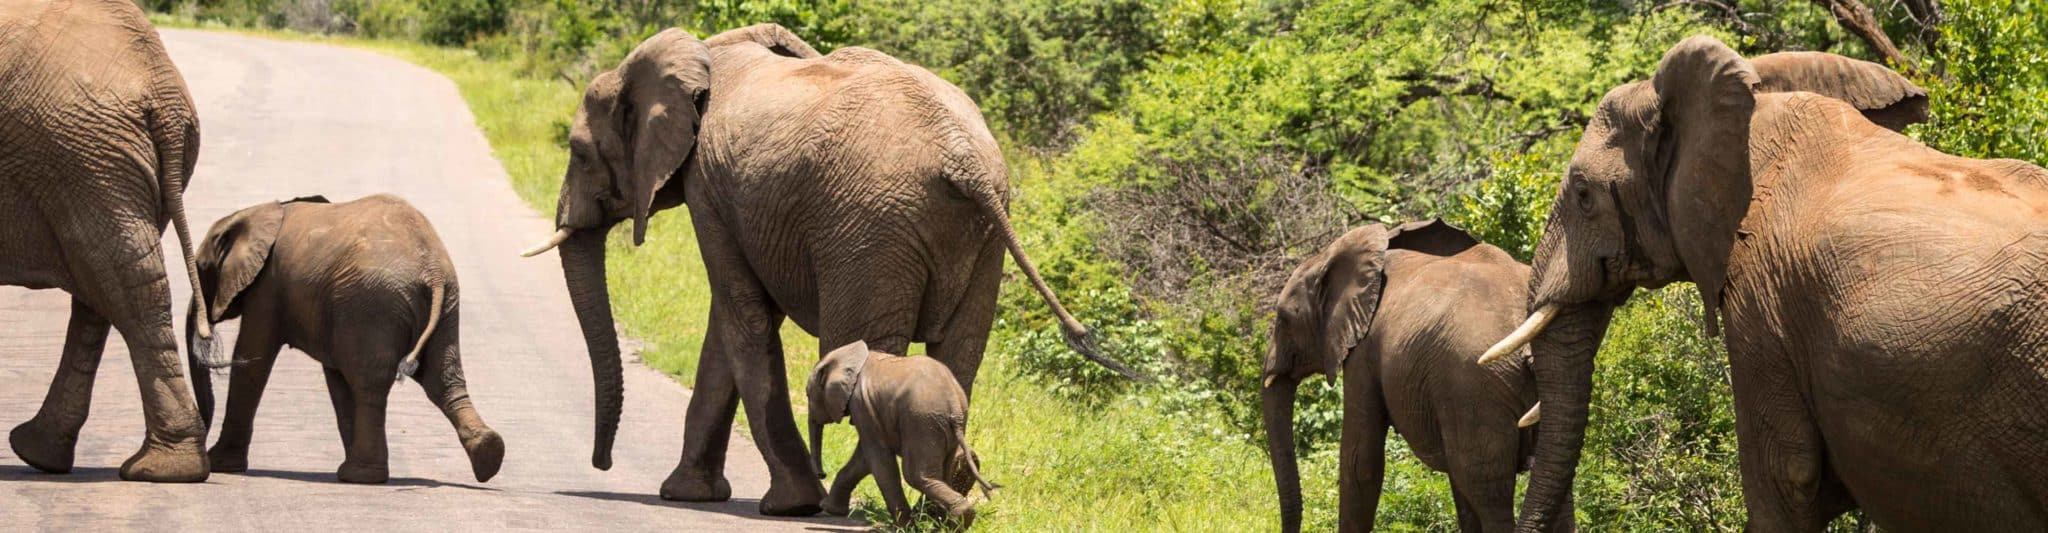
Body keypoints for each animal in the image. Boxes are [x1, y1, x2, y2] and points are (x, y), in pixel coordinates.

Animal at [0, 0, 216, 481]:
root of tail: (161, 84)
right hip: (99, 158)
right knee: (112, 280)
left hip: (80, 151)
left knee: (119, 283)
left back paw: (161, 469)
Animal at [186, 194, 505, 483]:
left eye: (201, 269)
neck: (256, 213)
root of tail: (433, 272)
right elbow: (337, 379)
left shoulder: (267, 287)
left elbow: (252, 361)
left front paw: (220, 465)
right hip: (439, 306)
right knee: (443, 379)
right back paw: (488, 455)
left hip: (372, 304)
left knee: (369, 385)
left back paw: (361, 476)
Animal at [802, 342, 995, 528]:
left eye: (808, 394)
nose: (822, 474)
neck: (851, 357)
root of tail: (954, 405)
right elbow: (864, 459)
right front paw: (830, 509)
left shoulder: (862, 405)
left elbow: (879, 461)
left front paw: (904, 527)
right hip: (943, 426)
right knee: (942, 473)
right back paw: (948, 525)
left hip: (921, 422)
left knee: (915, 475)